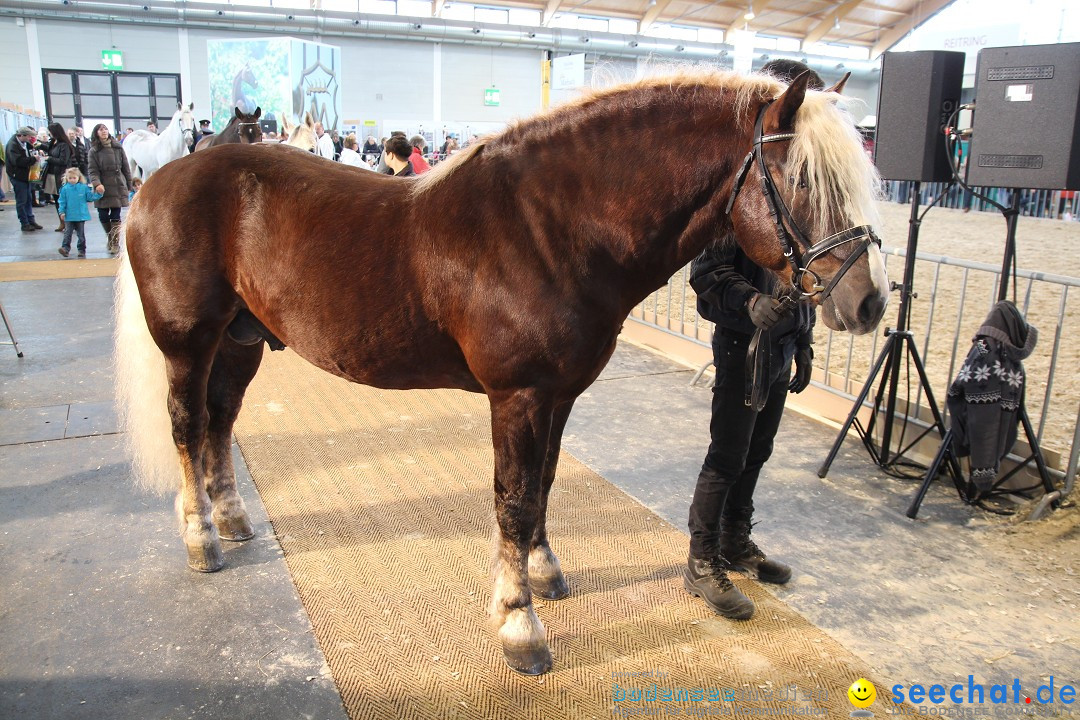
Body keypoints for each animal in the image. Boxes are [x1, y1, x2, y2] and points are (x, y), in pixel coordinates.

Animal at [113, 69, 889, 677]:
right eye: (801, 179)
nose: (871, 301)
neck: (550, 229)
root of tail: (156, 184)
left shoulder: (558, 396)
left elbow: (541, 485)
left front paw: (543, 575)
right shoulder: (516, 396)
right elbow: (513, 501)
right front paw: (520, 626)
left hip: (240, 343)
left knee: (219, 422)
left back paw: (232, 516)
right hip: (188, 343)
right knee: (187, 425)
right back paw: (202, 538)